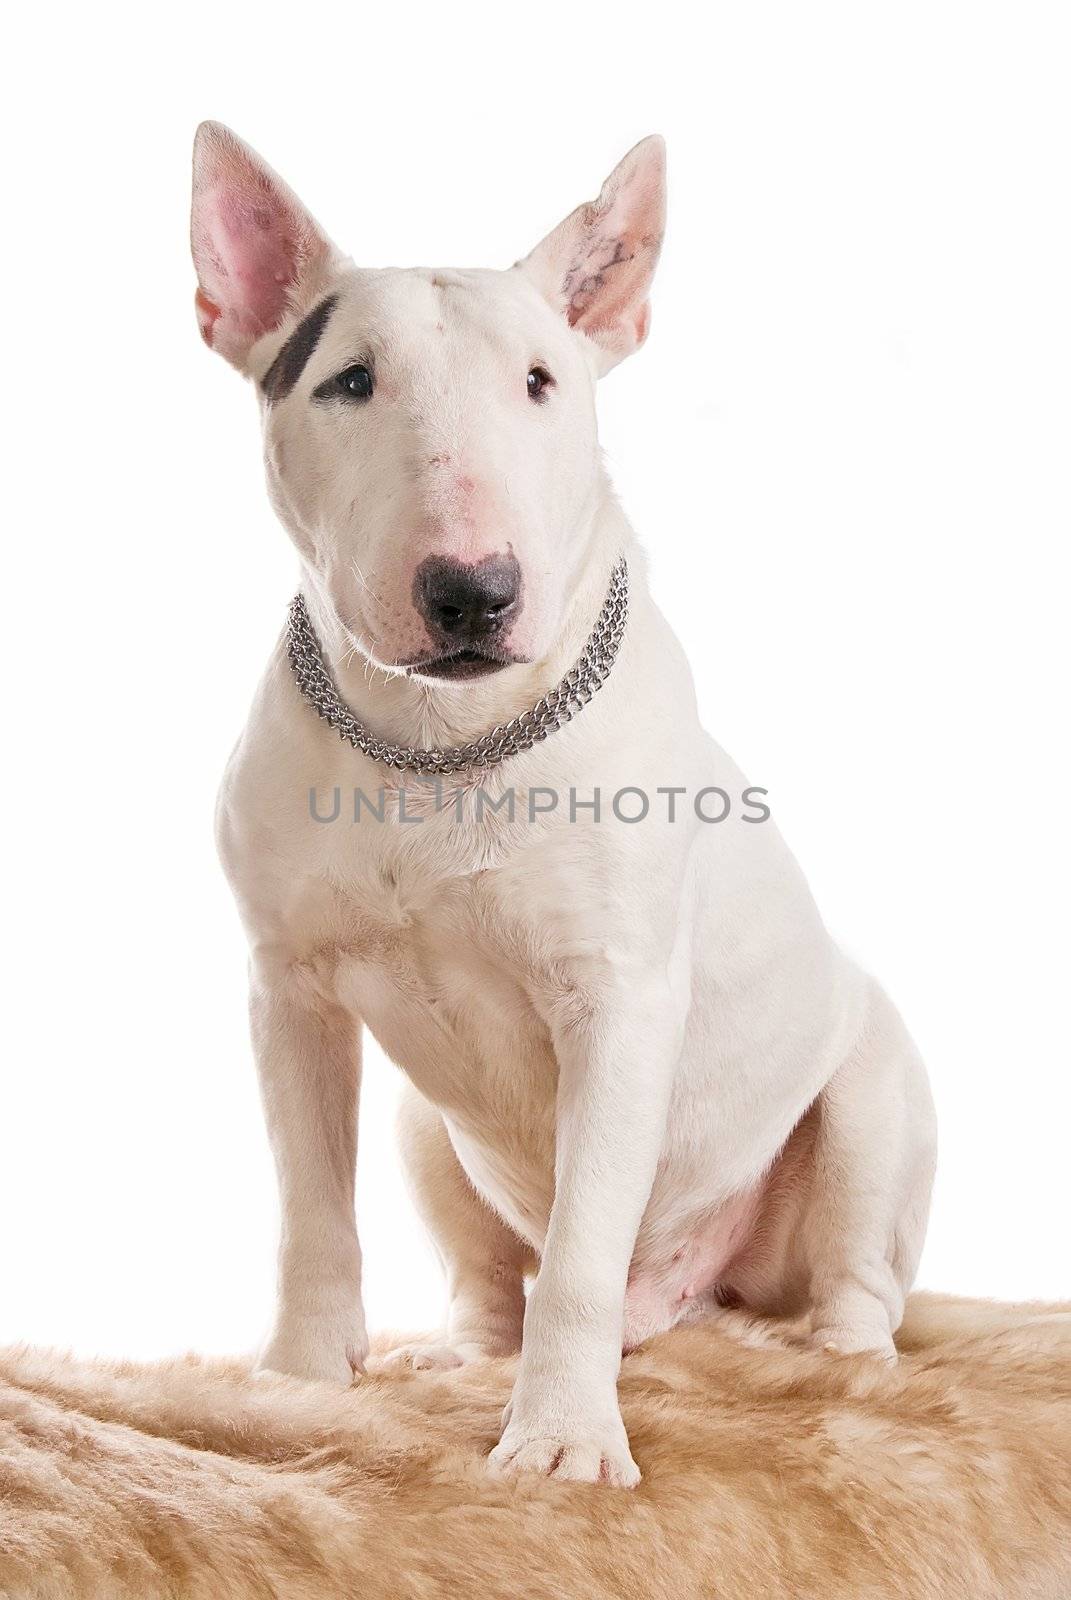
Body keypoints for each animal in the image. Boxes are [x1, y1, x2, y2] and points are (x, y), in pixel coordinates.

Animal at [192, 124, 934, 1484]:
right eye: (349, 381)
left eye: (541, 381)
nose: (471, 591)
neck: (440, 750)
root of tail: (688, 1296)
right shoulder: (289, 991)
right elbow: (311, 1211)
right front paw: (303, 1381)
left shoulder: (620, 1007)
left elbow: (584, 1253)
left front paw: (562, 1446)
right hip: (427, 1132)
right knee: (492, 1278)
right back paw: (464, 1355)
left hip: (869, 1098)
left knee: (854, 1279)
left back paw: (836, 1365)